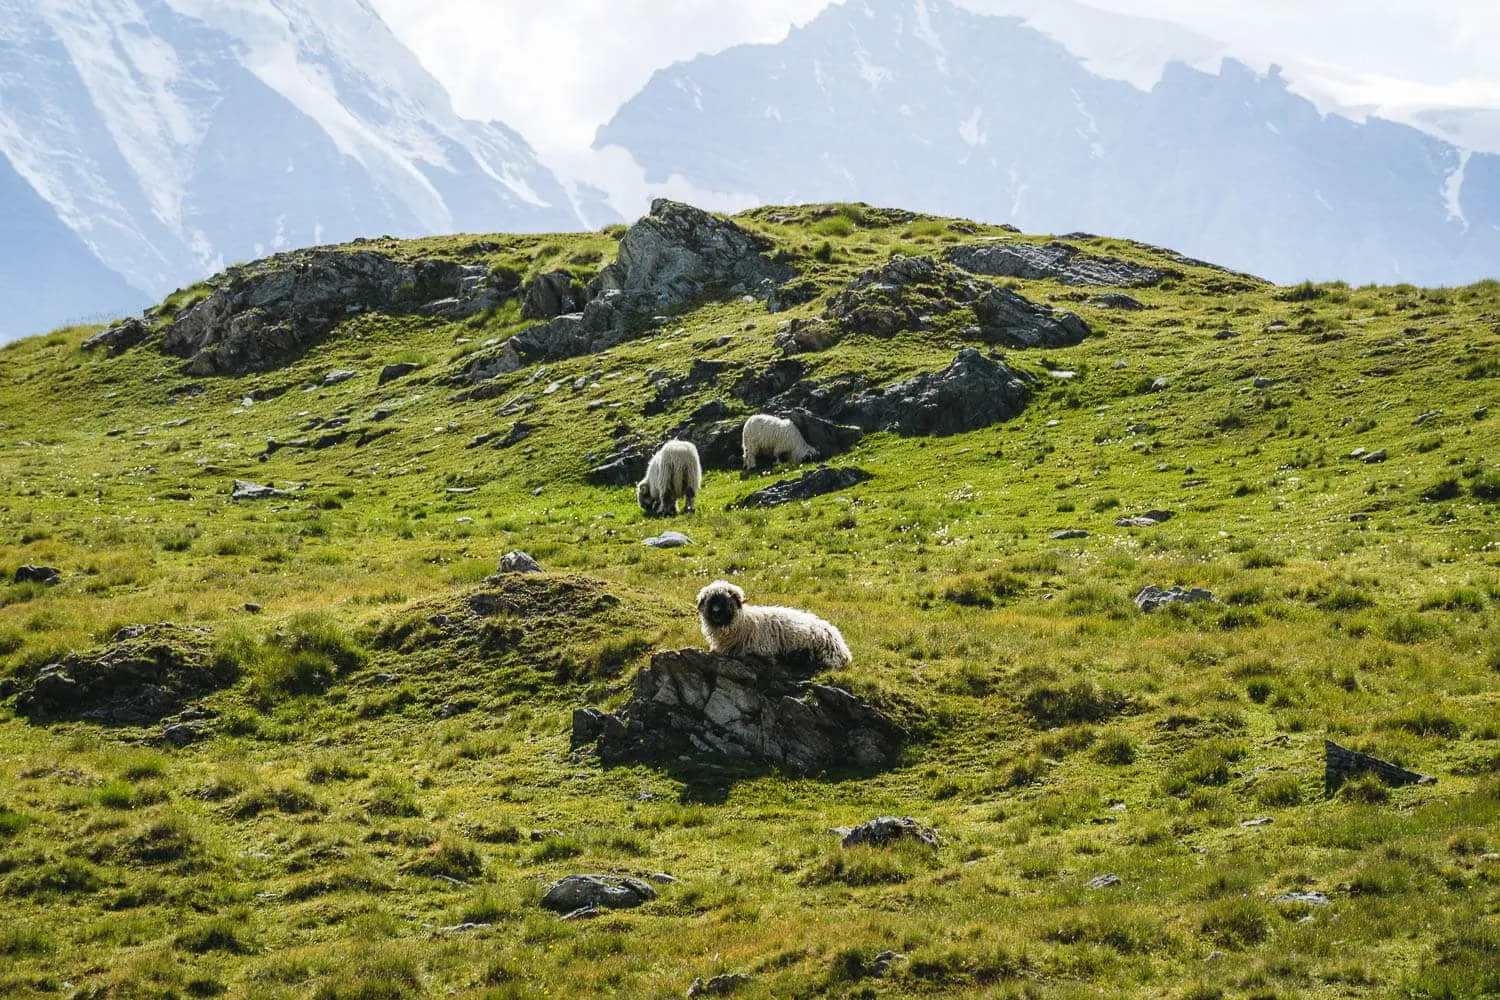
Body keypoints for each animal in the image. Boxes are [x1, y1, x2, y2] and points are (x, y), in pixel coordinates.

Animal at [696, 580, 852, 671]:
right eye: (711, 601)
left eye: (725, 601)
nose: (716, 612)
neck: (743, 623)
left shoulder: (761, 649)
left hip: (825, 651)